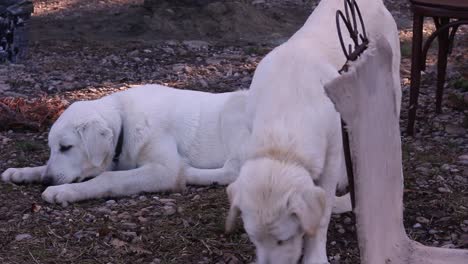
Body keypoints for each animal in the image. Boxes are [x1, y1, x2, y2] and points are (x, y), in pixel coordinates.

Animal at [1, 84, 250, 206]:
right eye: (53, 149)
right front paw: (21, 172)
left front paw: (63, 191)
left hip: (233, 114)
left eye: (66, 147)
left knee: (233, 171)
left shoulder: (164, 169)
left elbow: (108, 178)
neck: (125, 121)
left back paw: (190, 173)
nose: (46, 181)